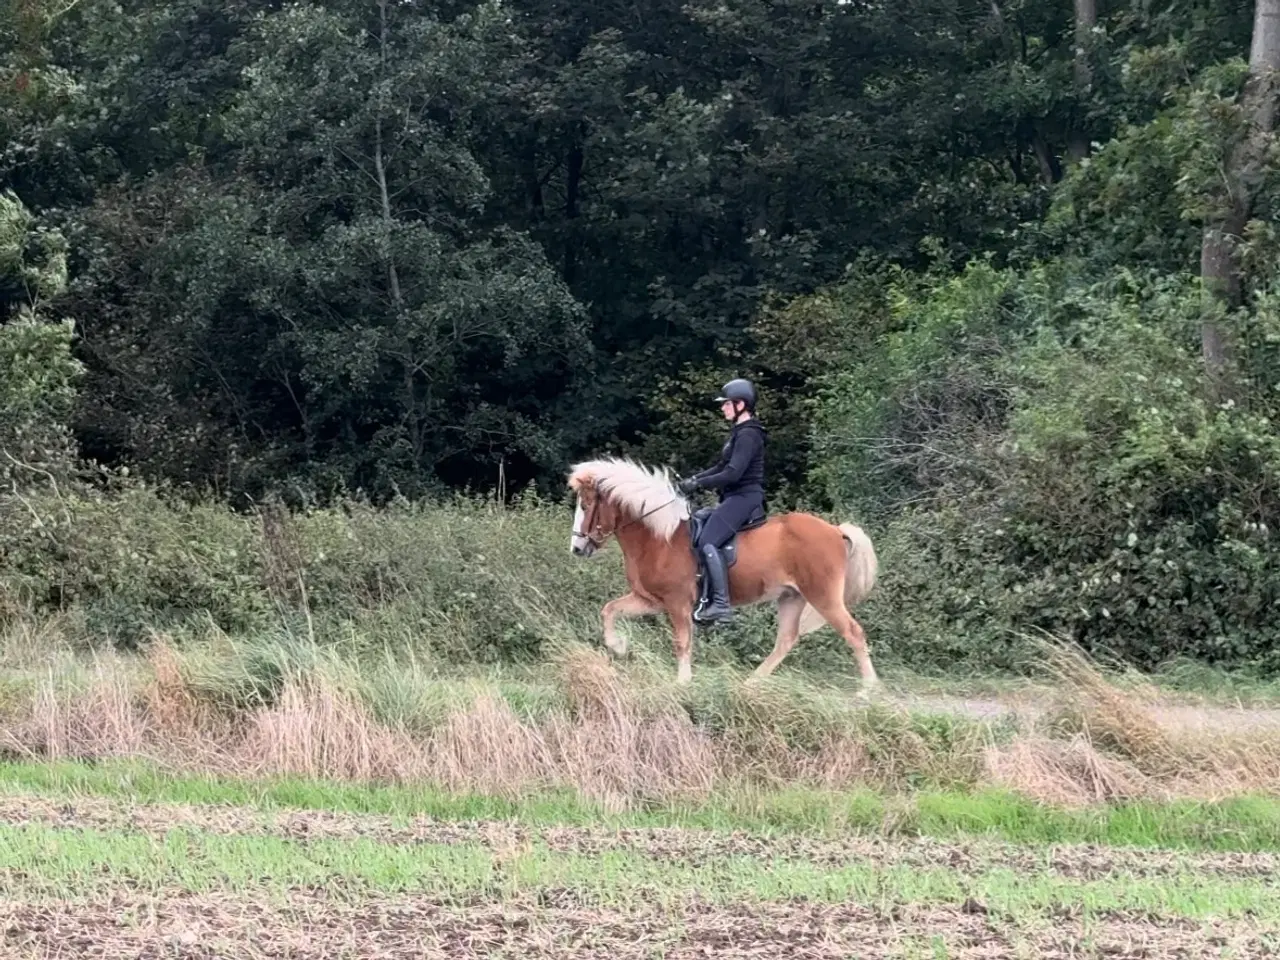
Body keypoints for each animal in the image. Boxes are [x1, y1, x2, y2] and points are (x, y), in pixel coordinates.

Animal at [570, 458, 880, 691]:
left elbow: (682, 642)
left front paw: (682, 682)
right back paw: (751, 683)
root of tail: (835, 530)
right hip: (791, 597)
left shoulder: (677, 603)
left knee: (853, 633)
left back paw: (868, 691)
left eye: (585, 506)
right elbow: (609, 610)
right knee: (785, 640)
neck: (660, 538)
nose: (576, 548)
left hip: (823, 596)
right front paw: (619, 646)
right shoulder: (649, 600)